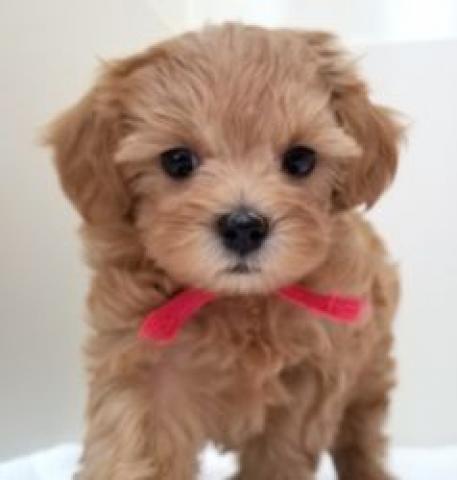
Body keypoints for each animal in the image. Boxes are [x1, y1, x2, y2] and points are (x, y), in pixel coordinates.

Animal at [46, 23, 403, 480]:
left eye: (300, 160)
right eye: (177, 161)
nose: (244, 226)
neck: (238, 304)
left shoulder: (308, 382)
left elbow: (280, 457)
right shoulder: (143, 371)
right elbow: (133, 450)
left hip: (370, 369)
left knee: (362, 434)